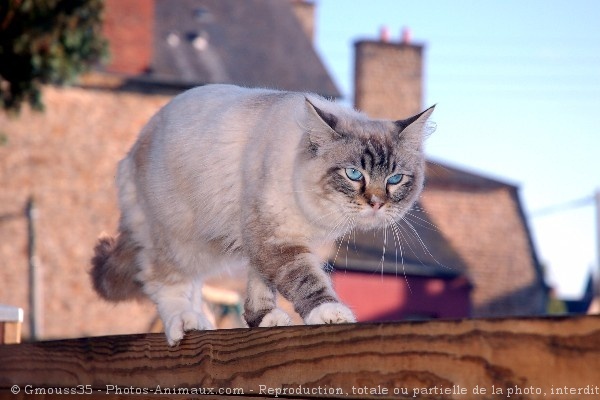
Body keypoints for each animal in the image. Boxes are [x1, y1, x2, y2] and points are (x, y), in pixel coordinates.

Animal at [91, 83, 434, 344]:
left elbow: (260, 285)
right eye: (353, 174)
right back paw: (185, 322)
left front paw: (265, 319)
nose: (376, 203)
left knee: (194, 285)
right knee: (164, 281)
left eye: (395, 179)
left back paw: (202, 319)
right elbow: (306, 281)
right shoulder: (276, 239)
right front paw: (330, 313)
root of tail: (132, 151)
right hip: (177, 241)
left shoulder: (269, 241)